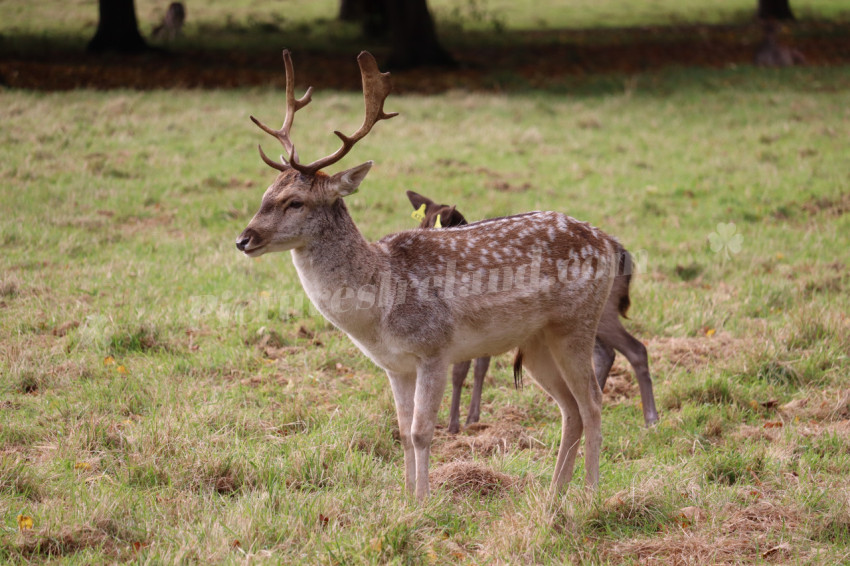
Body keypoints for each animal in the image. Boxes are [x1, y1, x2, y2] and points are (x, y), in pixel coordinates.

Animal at [235, 50, 620, 502]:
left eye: (295, 202)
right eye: (265, 195)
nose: (244, 239)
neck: (379, 305)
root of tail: (607, 242)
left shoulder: (435, 348)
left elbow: (422, 432)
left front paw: (424, 501)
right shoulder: (394, 365)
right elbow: (402, 432)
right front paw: (405, 497)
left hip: (576, 322)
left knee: (592, 401)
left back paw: (590, 494)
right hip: (537, 341)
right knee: (570, 408)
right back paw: (554, 495)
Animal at [404, 189, 656, 432]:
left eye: (434, 229)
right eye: (420, 225)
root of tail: (620, 251)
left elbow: (463, 370)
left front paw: (457, 424)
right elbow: (474, 367)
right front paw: (467, 420)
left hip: (599, 313)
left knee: (635, 349)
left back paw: (650, 418)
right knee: (606, 353)